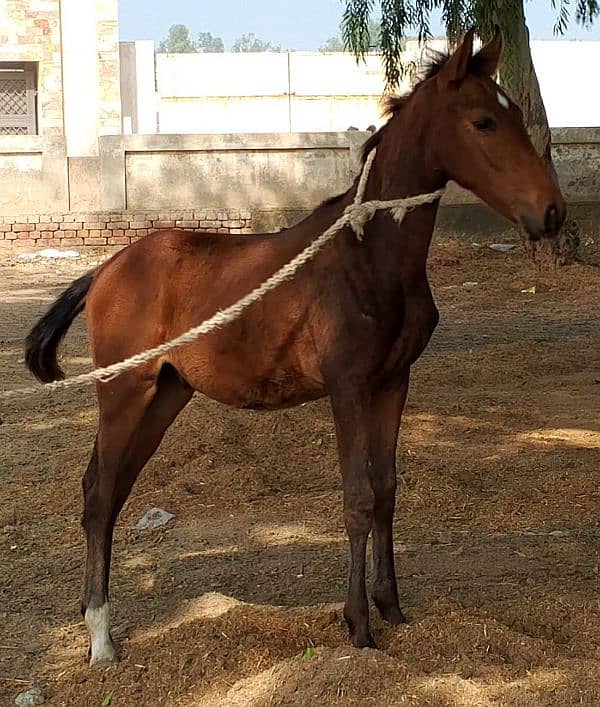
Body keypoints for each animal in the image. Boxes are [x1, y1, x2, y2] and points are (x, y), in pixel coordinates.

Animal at [25, 29, 564, 668]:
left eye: (512, 115)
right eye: (482, 121)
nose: (552, 212)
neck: (369, 256)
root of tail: (105, 269)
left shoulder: (394, 382)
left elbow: (386, 491)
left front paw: (392, 608)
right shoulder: (347, 388)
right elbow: (357, 498)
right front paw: (359, 628)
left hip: (164, 395)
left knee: (113, 489)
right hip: (122, 393)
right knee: (99, 493)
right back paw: (101, 639)